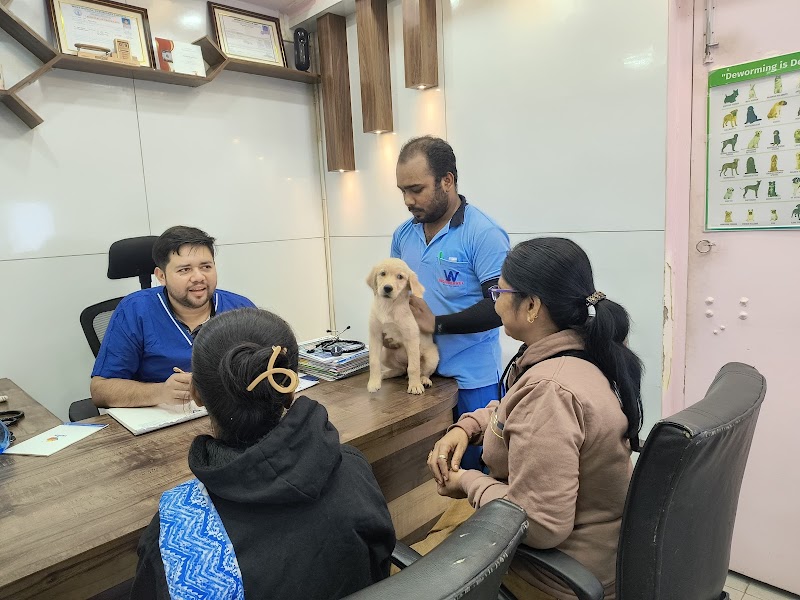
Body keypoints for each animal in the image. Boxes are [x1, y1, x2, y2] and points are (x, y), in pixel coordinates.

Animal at [366, 258, 439, 395]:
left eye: (400, 277)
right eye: (382, 273)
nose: (387, 288)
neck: (388, 306)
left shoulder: (411, 337)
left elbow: (414, 367)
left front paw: (415, 385)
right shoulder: (375, 335)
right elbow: (373, 362)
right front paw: (373, 383)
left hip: (433, 357)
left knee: (422, 371)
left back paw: (423, 380)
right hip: (385, 355)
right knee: (401, 370)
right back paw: (385, 374)